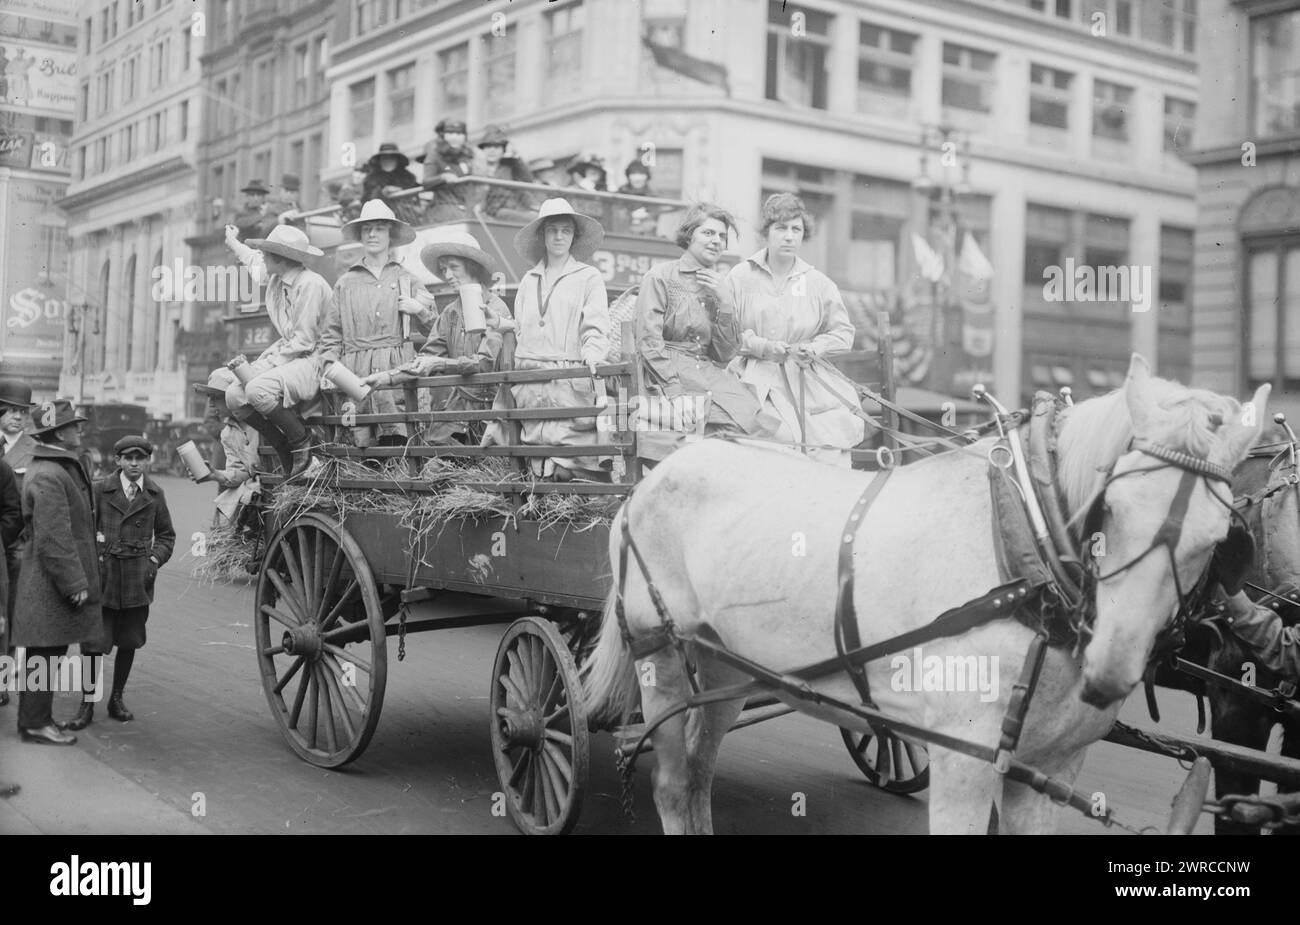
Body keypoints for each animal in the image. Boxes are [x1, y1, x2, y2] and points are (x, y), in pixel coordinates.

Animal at [582, 358, 1268, 836]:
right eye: (1112, 507)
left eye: (1218, 537)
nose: (1108, 673)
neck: (1028, 547)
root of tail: (650, 481)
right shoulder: (965, 759)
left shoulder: (1049, 770)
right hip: (661, 657)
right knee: (674, 785)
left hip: (729, 664)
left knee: (699, 775)